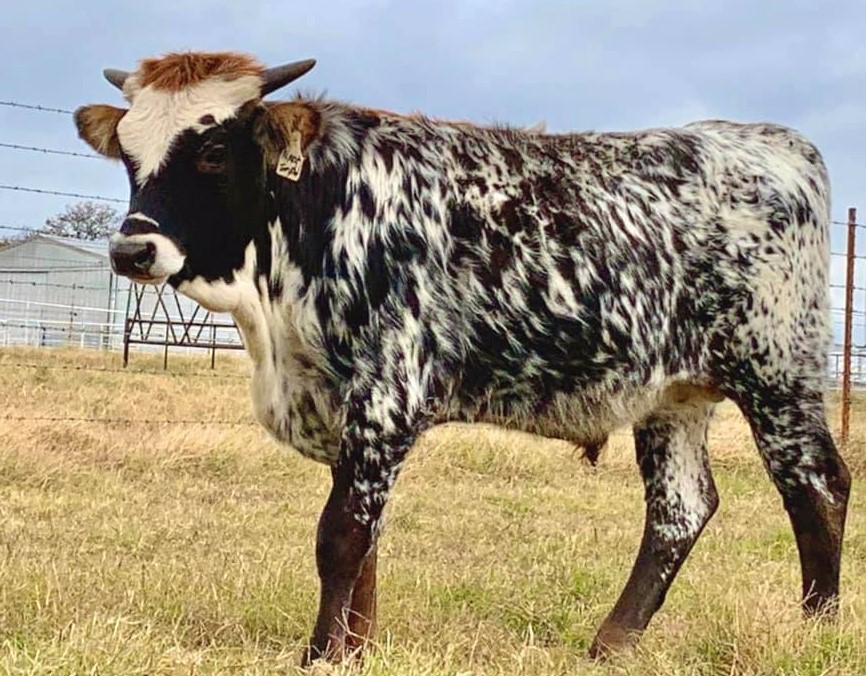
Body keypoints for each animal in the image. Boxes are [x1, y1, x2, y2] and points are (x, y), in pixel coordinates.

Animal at [74, 51, 850, 664]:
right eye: (131, 154)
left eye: (210, 150)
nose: (132, 250)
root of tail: (772, 141)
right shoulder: (347, 411)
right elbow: (366, 541)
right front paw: (357, 649)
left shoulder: (384, 397)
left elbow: (341, 536)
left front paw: (322, 654)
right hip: (674, 395)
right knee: (680, 509)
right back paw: (611, 644)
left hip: (776, 375)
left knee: (817, 487)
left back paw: (816, 629)